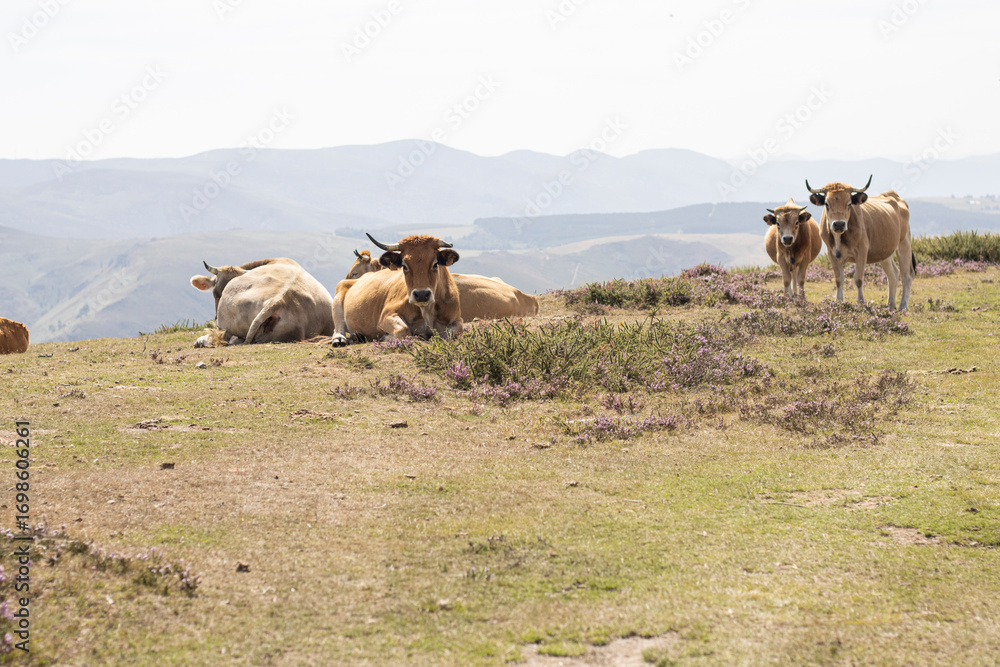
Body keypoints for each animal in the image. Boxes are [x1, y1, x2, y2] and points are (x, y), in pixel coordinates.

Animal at [331, 234, 462, 346]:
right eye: (404, 266)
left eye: (435, 264)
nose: (421, 294)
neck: (427, 310)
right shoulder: (386, 315)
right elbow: (403, 330)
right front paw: (387, 337)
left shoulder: (457, 319)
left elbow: (453, 333)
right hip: (338, 299)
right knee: (338, 326)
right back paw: (340, 339)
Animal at [805, 175, 916, 310]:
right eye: (827, 204)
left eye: (849, 204)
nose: (839, 224)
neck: (839, 236)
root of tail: (895, 196)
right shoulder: (831, 253)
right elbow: (839, 279)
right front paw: (839, 302)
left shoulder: (862, 251)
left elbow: (858, 279)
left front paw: (861, 302)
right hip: (885, 252)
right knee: (893, 275)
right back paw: (890, 305)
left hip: (904, 244)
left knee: (907, 276)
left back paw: (903, 306)